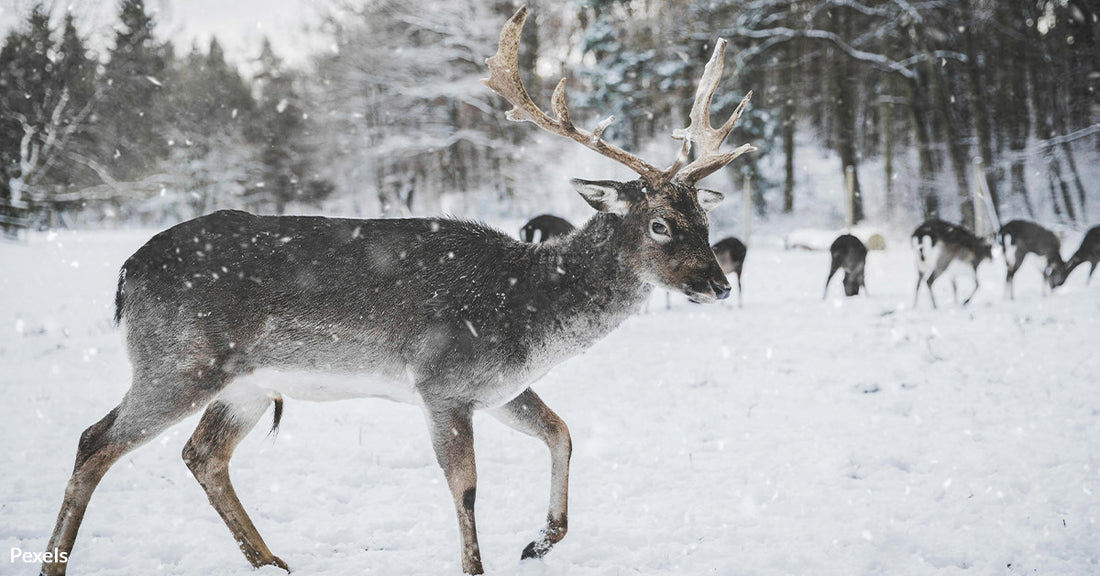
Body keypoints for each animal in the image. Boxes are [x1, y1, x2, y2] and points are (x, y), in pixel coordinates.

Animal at [36, 7, 756, 576]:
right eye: (660, 224)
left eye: (704, 217)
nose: (717, 285)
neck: (531, 313)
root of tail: (126, 273)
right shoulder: (443, 382)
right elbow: (466, 488)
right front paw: (481, 564)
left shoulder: (501, 386)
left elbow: (562, 432)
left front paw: (539, 541)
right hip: (179, 360)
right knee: (95, 440)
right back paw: (59, 563)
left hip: (244, 383)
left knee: (202, 454)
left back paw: (271, 560)